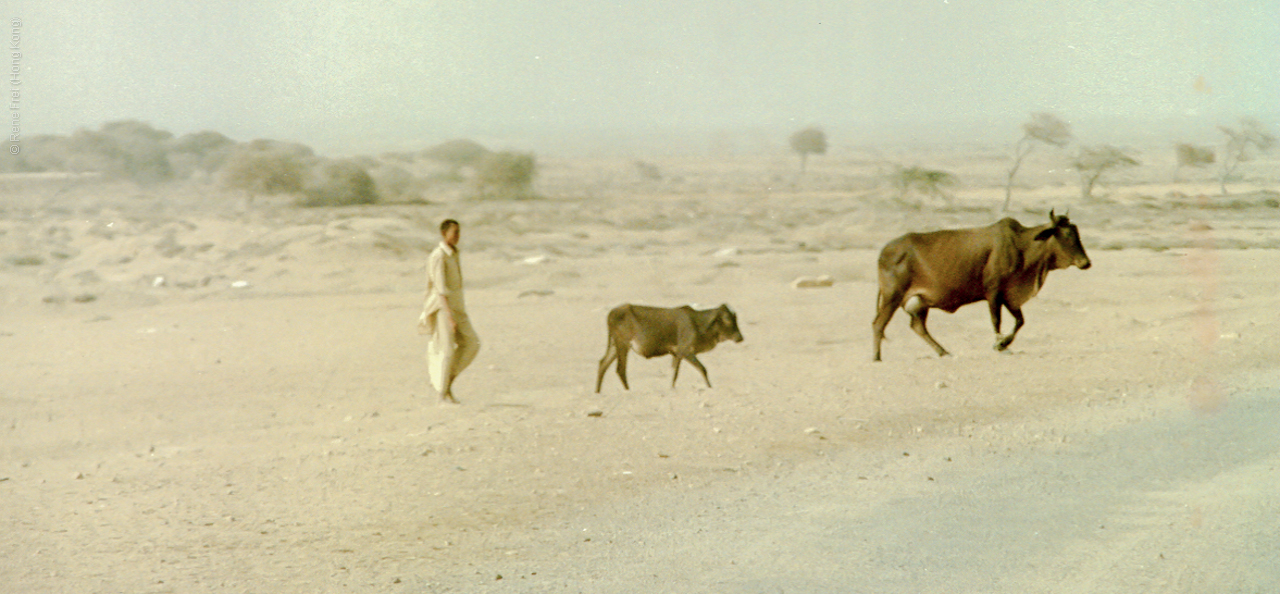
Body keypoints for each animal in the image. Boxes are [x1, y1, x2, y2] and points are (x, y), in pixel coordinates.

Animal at [596, 303, 747, 391]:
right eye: (727, 319)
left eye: (735, 318)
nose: (740, 337)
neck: (700, 324)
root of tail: (610, 314)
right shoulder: (686, 350)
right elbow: (703, 369)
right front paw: (709, 387)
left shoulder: (676, 353)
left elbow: (675, 373)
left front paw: (672, 388)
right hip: (623, 343)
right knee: (620, 369)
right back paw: (627, 390)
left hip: (615, 344)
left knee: (603, 364)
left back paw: (597, 391)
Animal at [870, 211, 1090, 358]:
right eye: (1067, 235)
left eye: (1077, 233)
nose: (1086, 263)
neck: (1022, 245)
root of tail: (884, 252)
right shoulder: (993, 292)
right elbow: (996, 320)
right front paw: (999, 344)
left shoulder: (1009, 297)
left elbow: (1020, 321)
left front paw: (1003, 344)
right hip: (892, 297)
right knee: (879, 324)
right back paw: (877, 358)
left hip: (919, 303)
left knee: (918, 327)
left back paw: (943, 352)